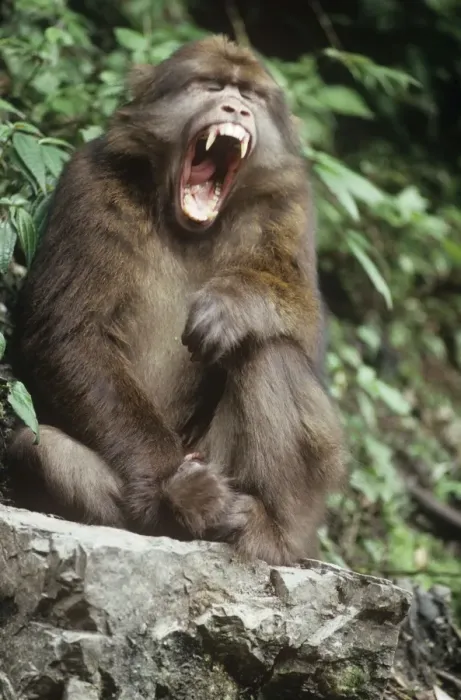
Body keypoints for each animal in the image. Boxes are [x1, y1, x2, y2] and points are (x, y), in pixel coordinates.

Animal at [7, 34, 347, 565]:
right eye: (211, 85)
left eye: (249, 94)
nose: (235, 107)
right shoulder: (90, 180)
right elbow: (68, 334)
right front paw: (181, 490)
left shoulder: (289, 201)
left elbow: (307, 330)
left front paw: (233, 306)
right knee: (34, 447)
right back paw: (171, 511)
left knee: (268, 350)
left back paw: (273, 532)